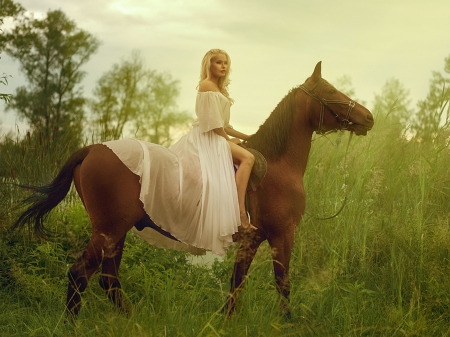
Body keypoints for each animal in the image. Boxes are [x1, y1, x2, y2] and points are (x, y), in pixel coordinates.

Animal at [13, 61, 372, 316]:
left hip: (117, 232)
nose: (368, 117)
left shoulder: (253, 239)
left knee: (107, 280)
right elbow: (282, 284)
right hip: (109, 230)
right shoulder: (282, 235)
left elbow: (236, 284)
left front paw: (226, 322)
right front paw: (287, 324)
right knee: (80, 276)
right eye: (331, 91)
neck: (276, 165)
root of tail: (92, 149)